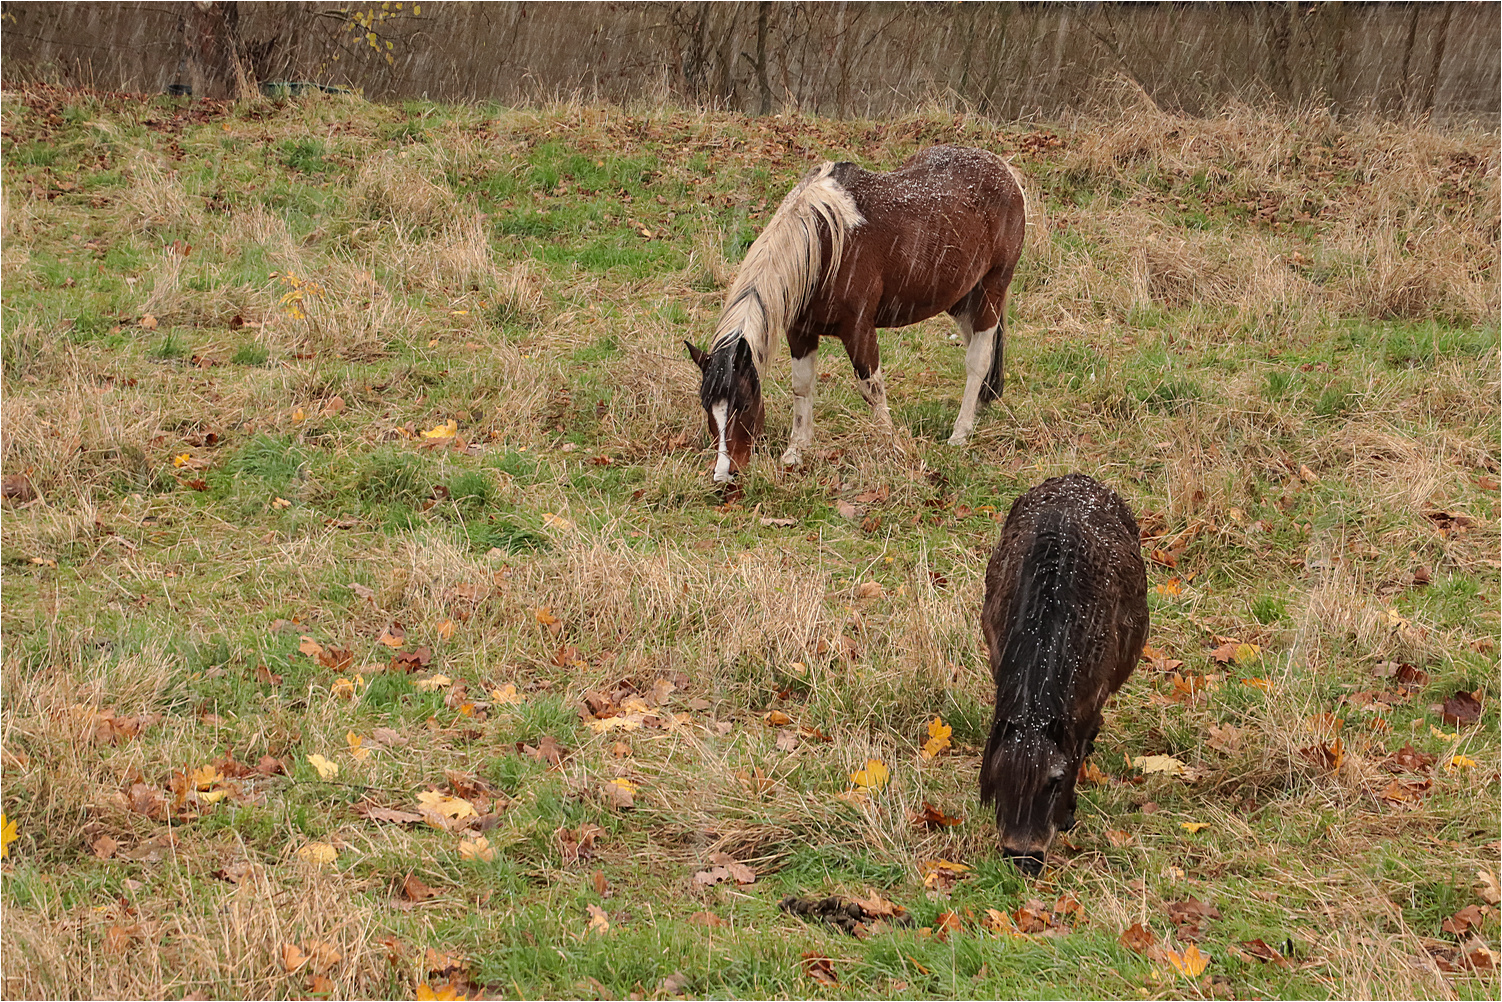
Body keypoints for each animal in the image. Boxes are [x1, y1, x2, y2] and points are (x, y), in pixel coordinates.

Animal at [687, 144, 1027, 480]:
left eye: (743, 404)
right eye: (706, 405)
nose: (724, 473)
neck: (823, 245)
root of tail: (1005, 170)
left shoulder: (859, 329)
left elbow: (871, 388)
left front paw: (890, 445)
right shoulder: (800, 333)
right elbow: (802, 387)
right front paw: (797, 450)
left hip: (991, 289)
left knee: (978, 359)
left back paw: (960, 432)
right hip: (960, 297)